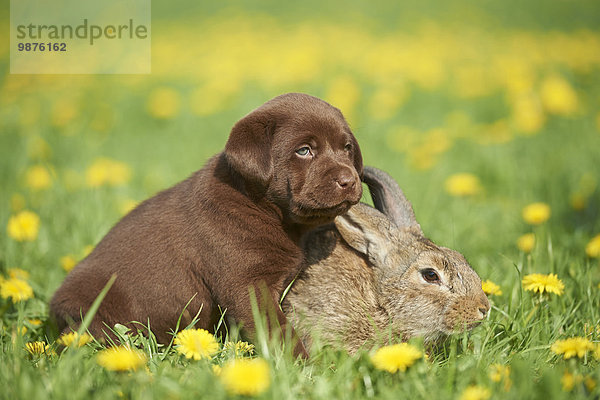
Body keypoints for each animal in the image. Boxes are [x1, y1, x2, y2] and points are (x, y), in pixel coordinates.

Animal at [50, 94, 360, 356]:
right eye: (304, 151)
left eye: (346, 149)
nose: (349, 180)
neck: (260, 205)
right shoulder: (249, 286)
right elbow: (278, 329)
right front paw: (303, 366)